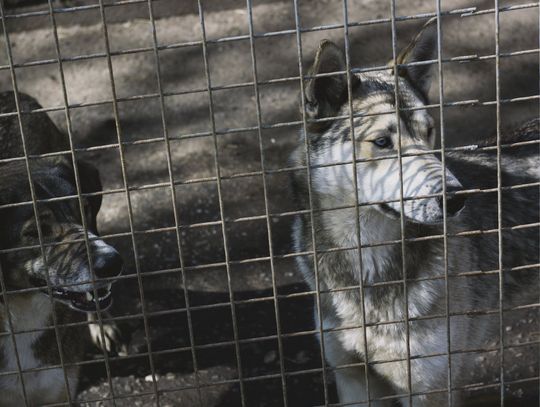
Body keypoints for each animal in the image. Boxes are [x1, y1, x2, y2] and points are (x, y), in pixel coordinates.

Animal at [292, 19, 540, 407]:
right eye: (382, 142)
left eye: (429, 133)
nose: (456, 198)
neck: (368, 269)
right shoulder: (351, 378)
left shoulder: (430, 388)